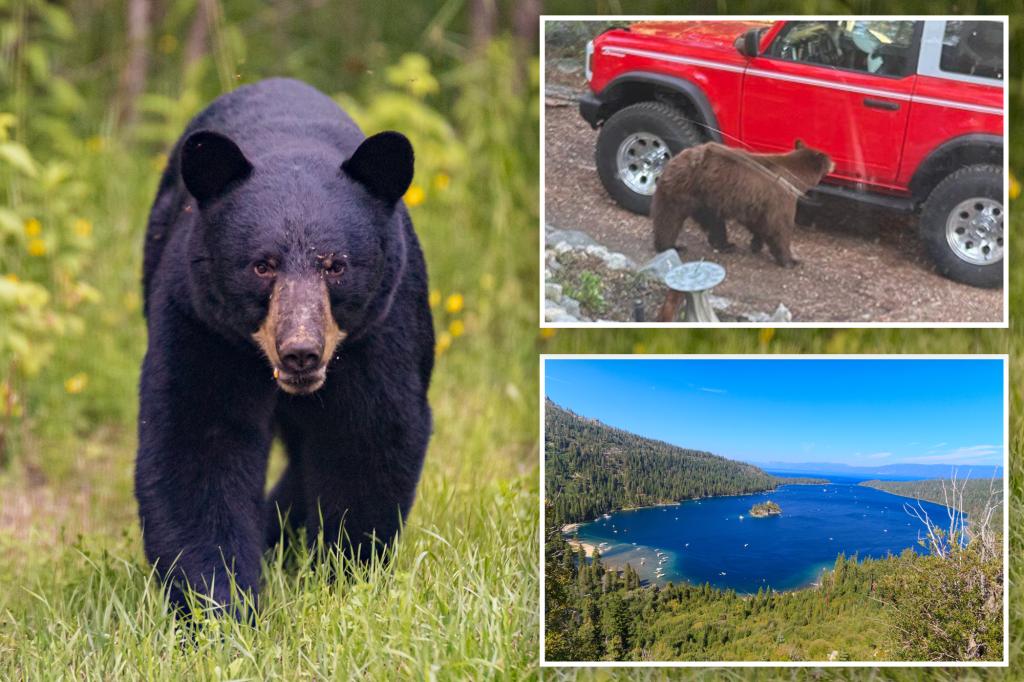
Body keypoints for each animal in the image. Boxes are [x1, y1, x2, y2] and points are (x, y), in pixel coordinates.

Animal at [136, 78, 434, 618]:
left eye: (336, 265)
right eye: (262, 265)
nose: (301, 352)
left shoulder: (381, 327)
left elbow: (368, 432)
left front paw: (343, 578)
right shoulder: (201, 320)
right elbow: (197, 441)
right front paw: (219, 609)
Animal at [651, 140, 834, 267]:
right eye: (828, 157)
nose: (834, 162)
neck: (795, 179)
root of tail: (672, 160)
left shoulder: (756, 202)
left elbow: (759, 222)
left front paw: (756, 244)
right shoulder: (780, 197)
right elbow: (779, 226)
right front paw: (791, 260)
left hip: (706, 199)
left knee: (713, 222)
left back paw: (725, 245)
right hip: (683, 190)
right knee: (669, 219)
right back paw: (671, 246)